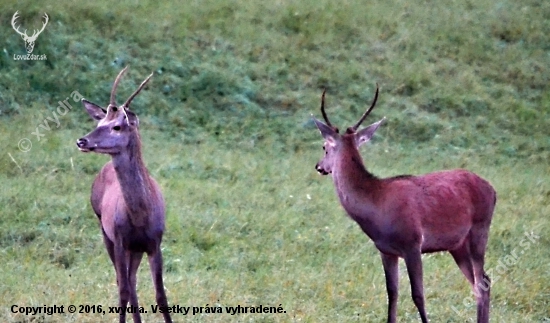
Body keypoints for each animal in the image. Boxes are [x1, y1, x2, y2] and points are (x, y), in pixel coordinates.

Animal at [76, 67, 172, 322]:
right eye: (101, 121)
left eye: (117, 126)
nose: (82, 140)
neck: (140, 216)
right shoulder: (119, 239)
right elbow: (123, 291)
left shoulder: (155, 242)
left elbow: (161, 295)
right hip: (104, 230)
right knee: (125, 281)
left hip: (134, 249)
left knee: (132, 280)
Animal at [312, 86, 498, 323]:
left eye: (325, 147)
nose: (319, 166)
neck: (377, 205)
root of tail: (492, 190)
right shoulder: (386, 250)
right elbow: (392, 293)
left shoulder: (413, 243)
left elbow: (418, 295)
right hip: (457, 245)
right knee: (481, 282)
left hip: (480, 230)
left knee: (482, 281)